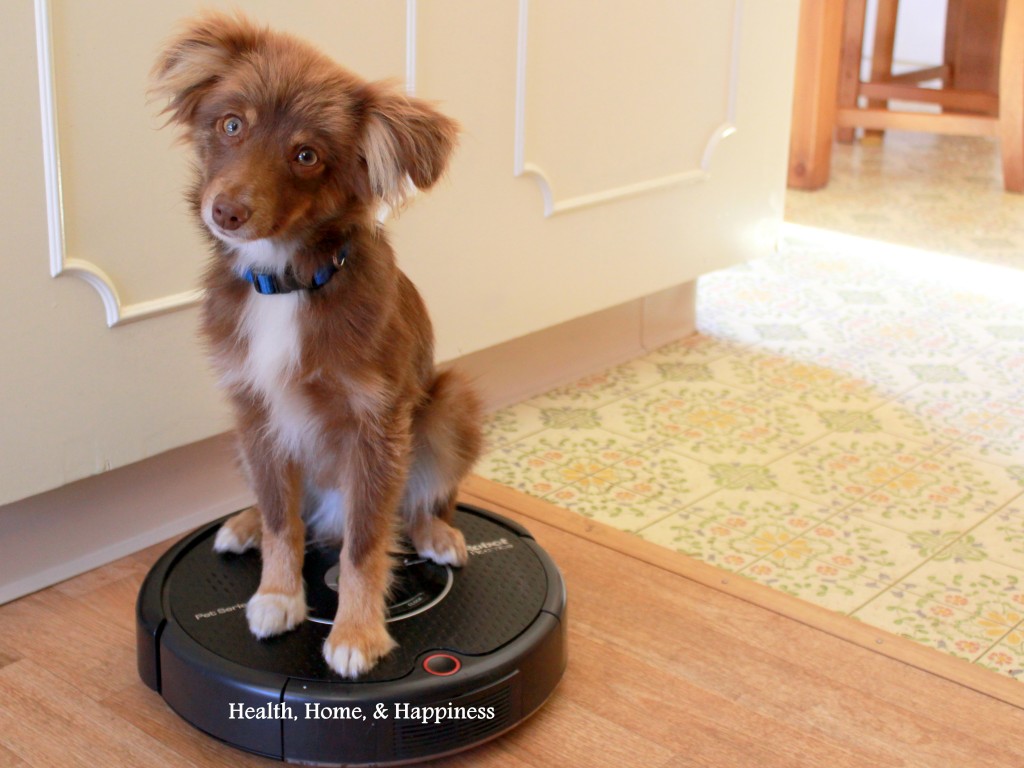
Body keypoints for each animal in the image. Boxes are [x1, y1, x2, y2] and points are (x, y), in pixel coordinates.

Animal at [151, 13, 483, 679]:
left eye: (306, 156)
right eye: (232, 124)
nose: (226, 212)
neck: (285, 283)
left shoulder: (376, 428)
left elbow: (364, 544)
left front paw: (356, 633)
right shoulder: (256, 411)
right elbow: (283, 521)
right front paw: (278, 595)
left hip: (449, 401)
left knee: (415, 506)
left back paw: (435, 534)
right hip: (239, 439)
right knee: (289, 510)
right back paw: (246, 522)